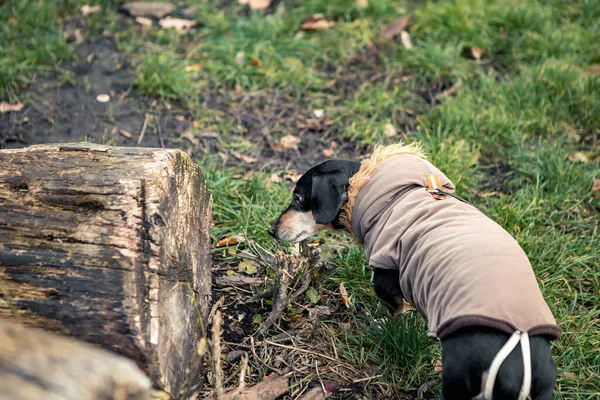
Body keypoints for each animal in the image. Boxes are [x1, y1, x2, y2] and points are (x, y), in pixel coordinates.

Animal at [270, 144, 560, 400]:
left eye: (298, 198)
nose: (271, 229)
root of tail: (520, 346)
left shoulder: (384, 276)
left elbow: (394, 311)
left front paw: (385, 325)